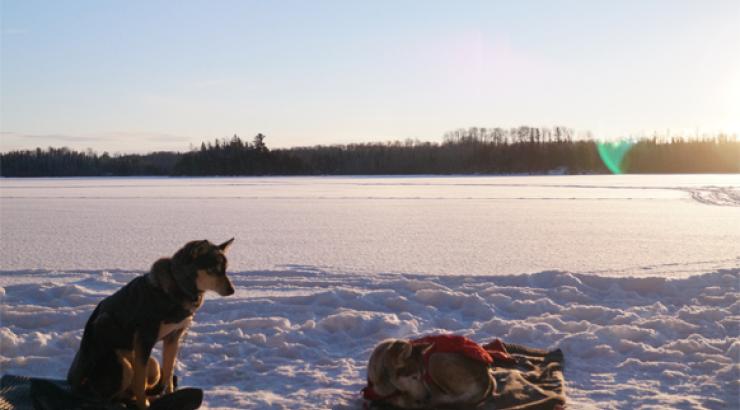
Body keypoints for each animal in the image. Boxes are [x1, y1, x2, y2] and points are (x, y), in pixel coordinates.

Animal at [66, 239, 236, 408]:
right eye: (213, 270)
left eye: (225, 270)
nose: (232, 290)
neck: (179, 287)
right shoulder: (144, 339)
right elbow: (140, 383)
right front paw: (144, 405)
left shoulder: (173, 338)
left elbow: (168, 374)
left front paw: (170, 395)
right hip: (121, 361)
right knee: (110, 396)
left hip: (152, 365)